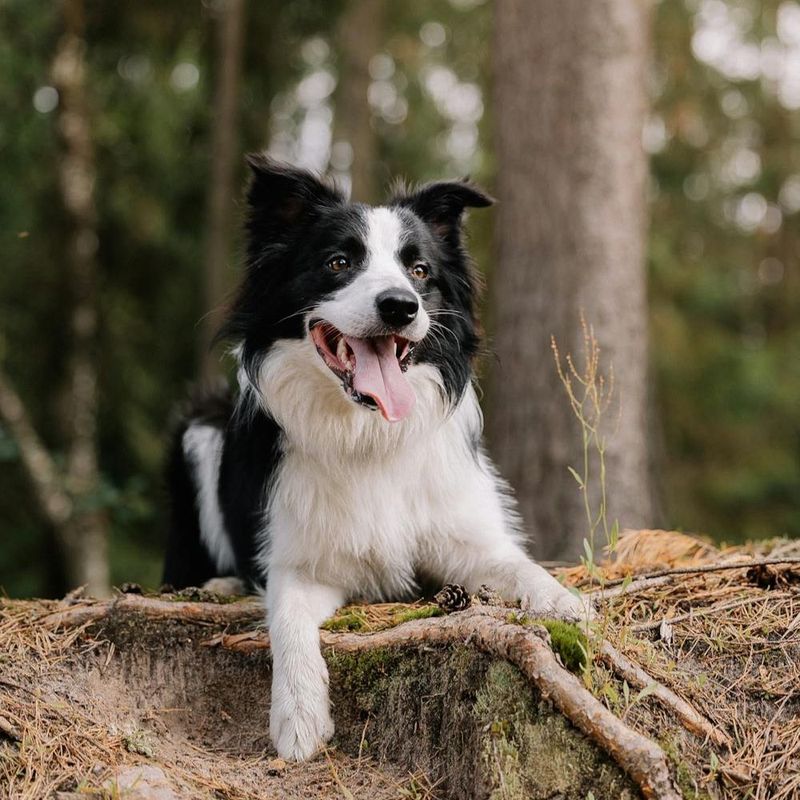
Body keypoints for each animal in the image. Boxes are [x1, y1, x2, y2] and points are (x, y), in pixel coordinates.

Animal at [162, 156, 592, 764]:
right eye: (338, 263)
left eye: (419, 271)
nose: (400, 306)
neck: (368, 434)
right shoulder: (301, 564)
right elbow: (286, 620)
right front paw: (297, 715)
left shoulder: (467, 539)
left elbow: (519, 566)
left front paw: (563, 601)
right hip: (198, 428)